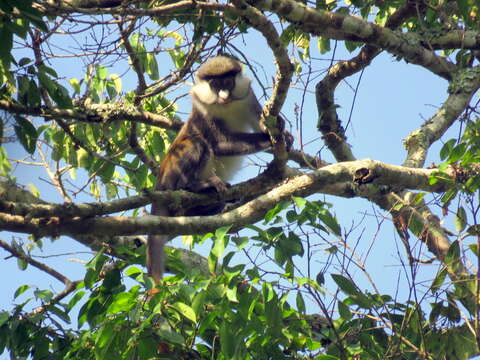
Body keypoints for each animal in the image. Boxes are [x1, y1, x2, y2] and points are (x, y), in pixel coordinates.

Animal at [146, 55, 290, 284]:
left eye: (228, 83)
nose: (223, 96)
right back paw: (197, 186)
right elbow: (219, 143)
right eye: (214, 84)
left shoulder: (248, 96)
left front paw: (279, 128)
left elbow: (259, 121)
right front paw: (273, 137)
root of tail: (159, 184)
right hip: (173, 173)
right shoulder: (203, 110)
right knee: (197, 143)